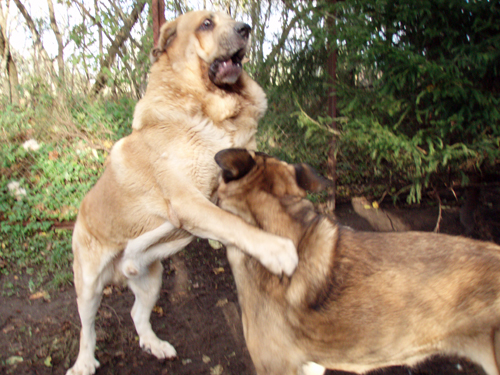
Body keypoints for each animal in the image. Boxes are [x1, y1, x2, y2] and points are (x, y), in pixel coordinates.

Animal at [66, 11, 296, 375]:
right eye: (206, 23)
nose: (245, 28)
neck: (214, 114)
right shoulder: (190, 201)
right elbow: (234, 225)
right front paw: (276, 250)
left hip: (152, 280)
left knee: (137, 311)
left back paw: (154, 341)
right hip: (88, 284)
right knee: (87, 327)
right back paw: (84, 362)